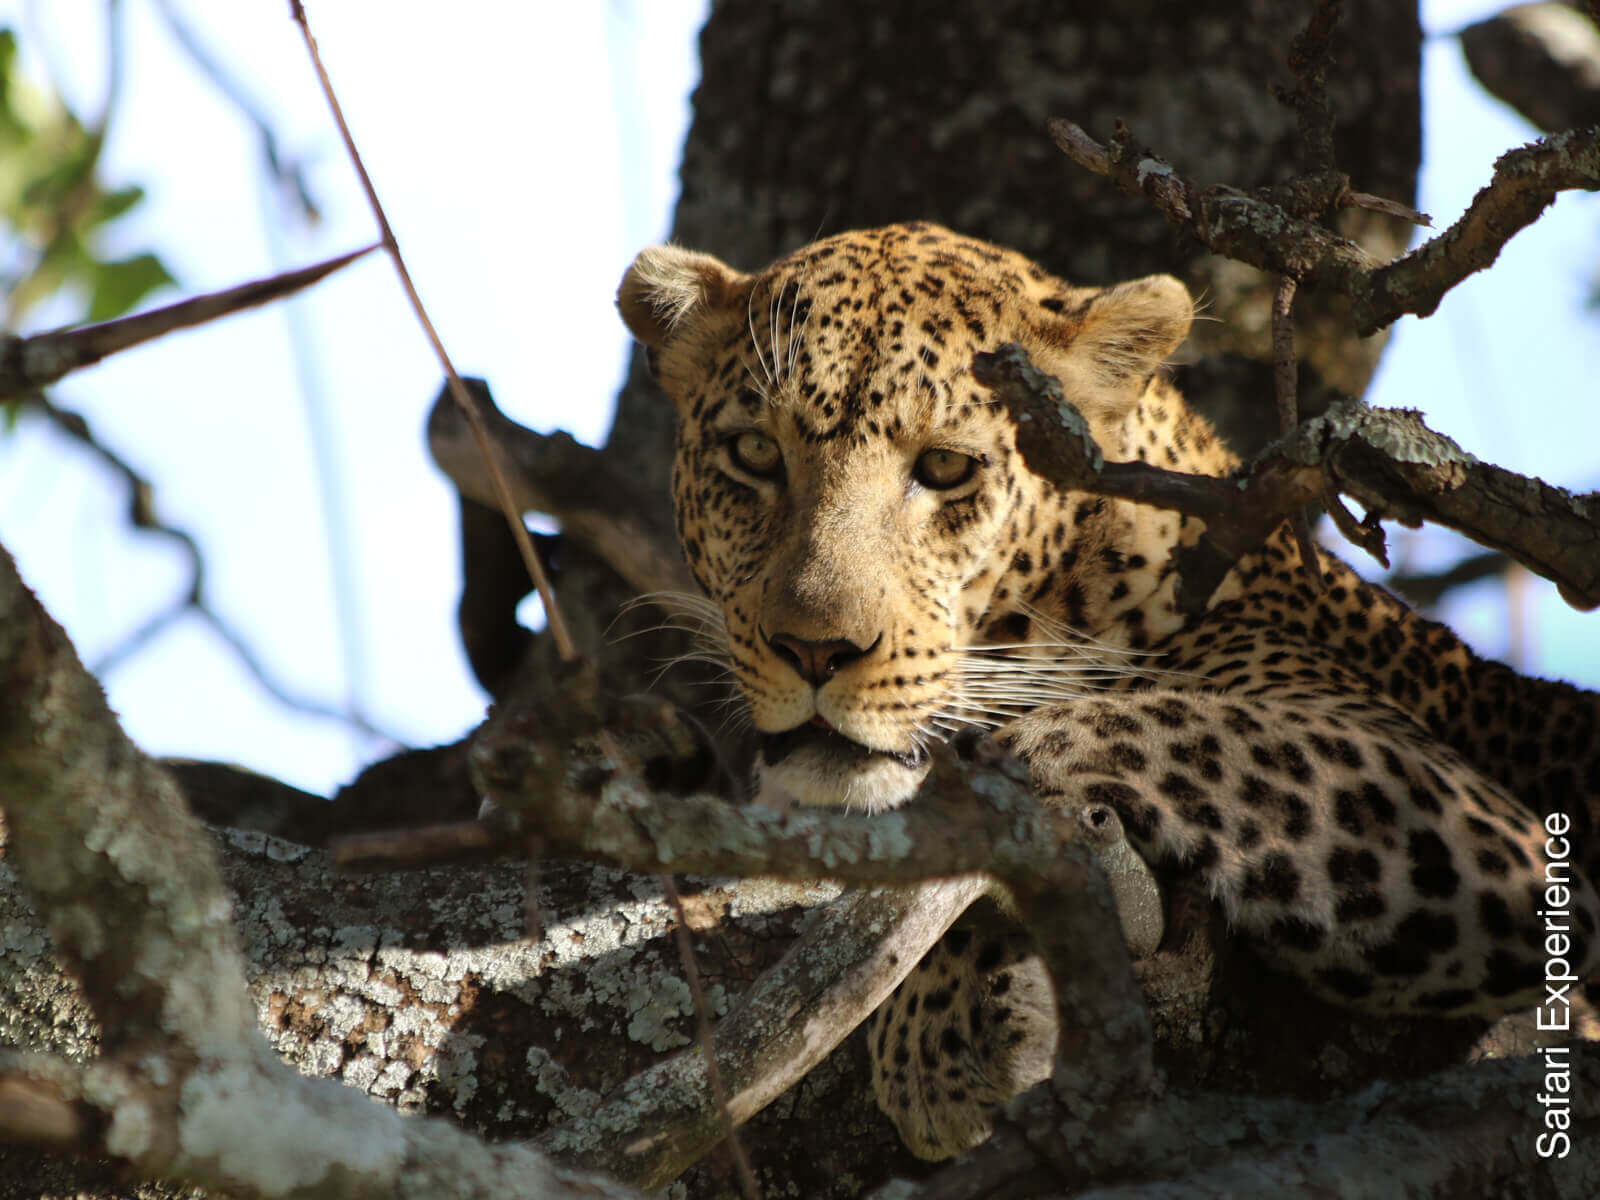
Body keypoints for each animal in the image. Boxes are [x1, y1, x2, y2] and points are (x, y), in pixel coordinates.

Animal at [616, 221, 1600, 1161]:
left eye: (945, 468)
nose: (815, 650)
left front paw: (947, 1031)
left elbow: (1123, 727)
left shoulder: (1485, 828)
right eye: (753, 453)